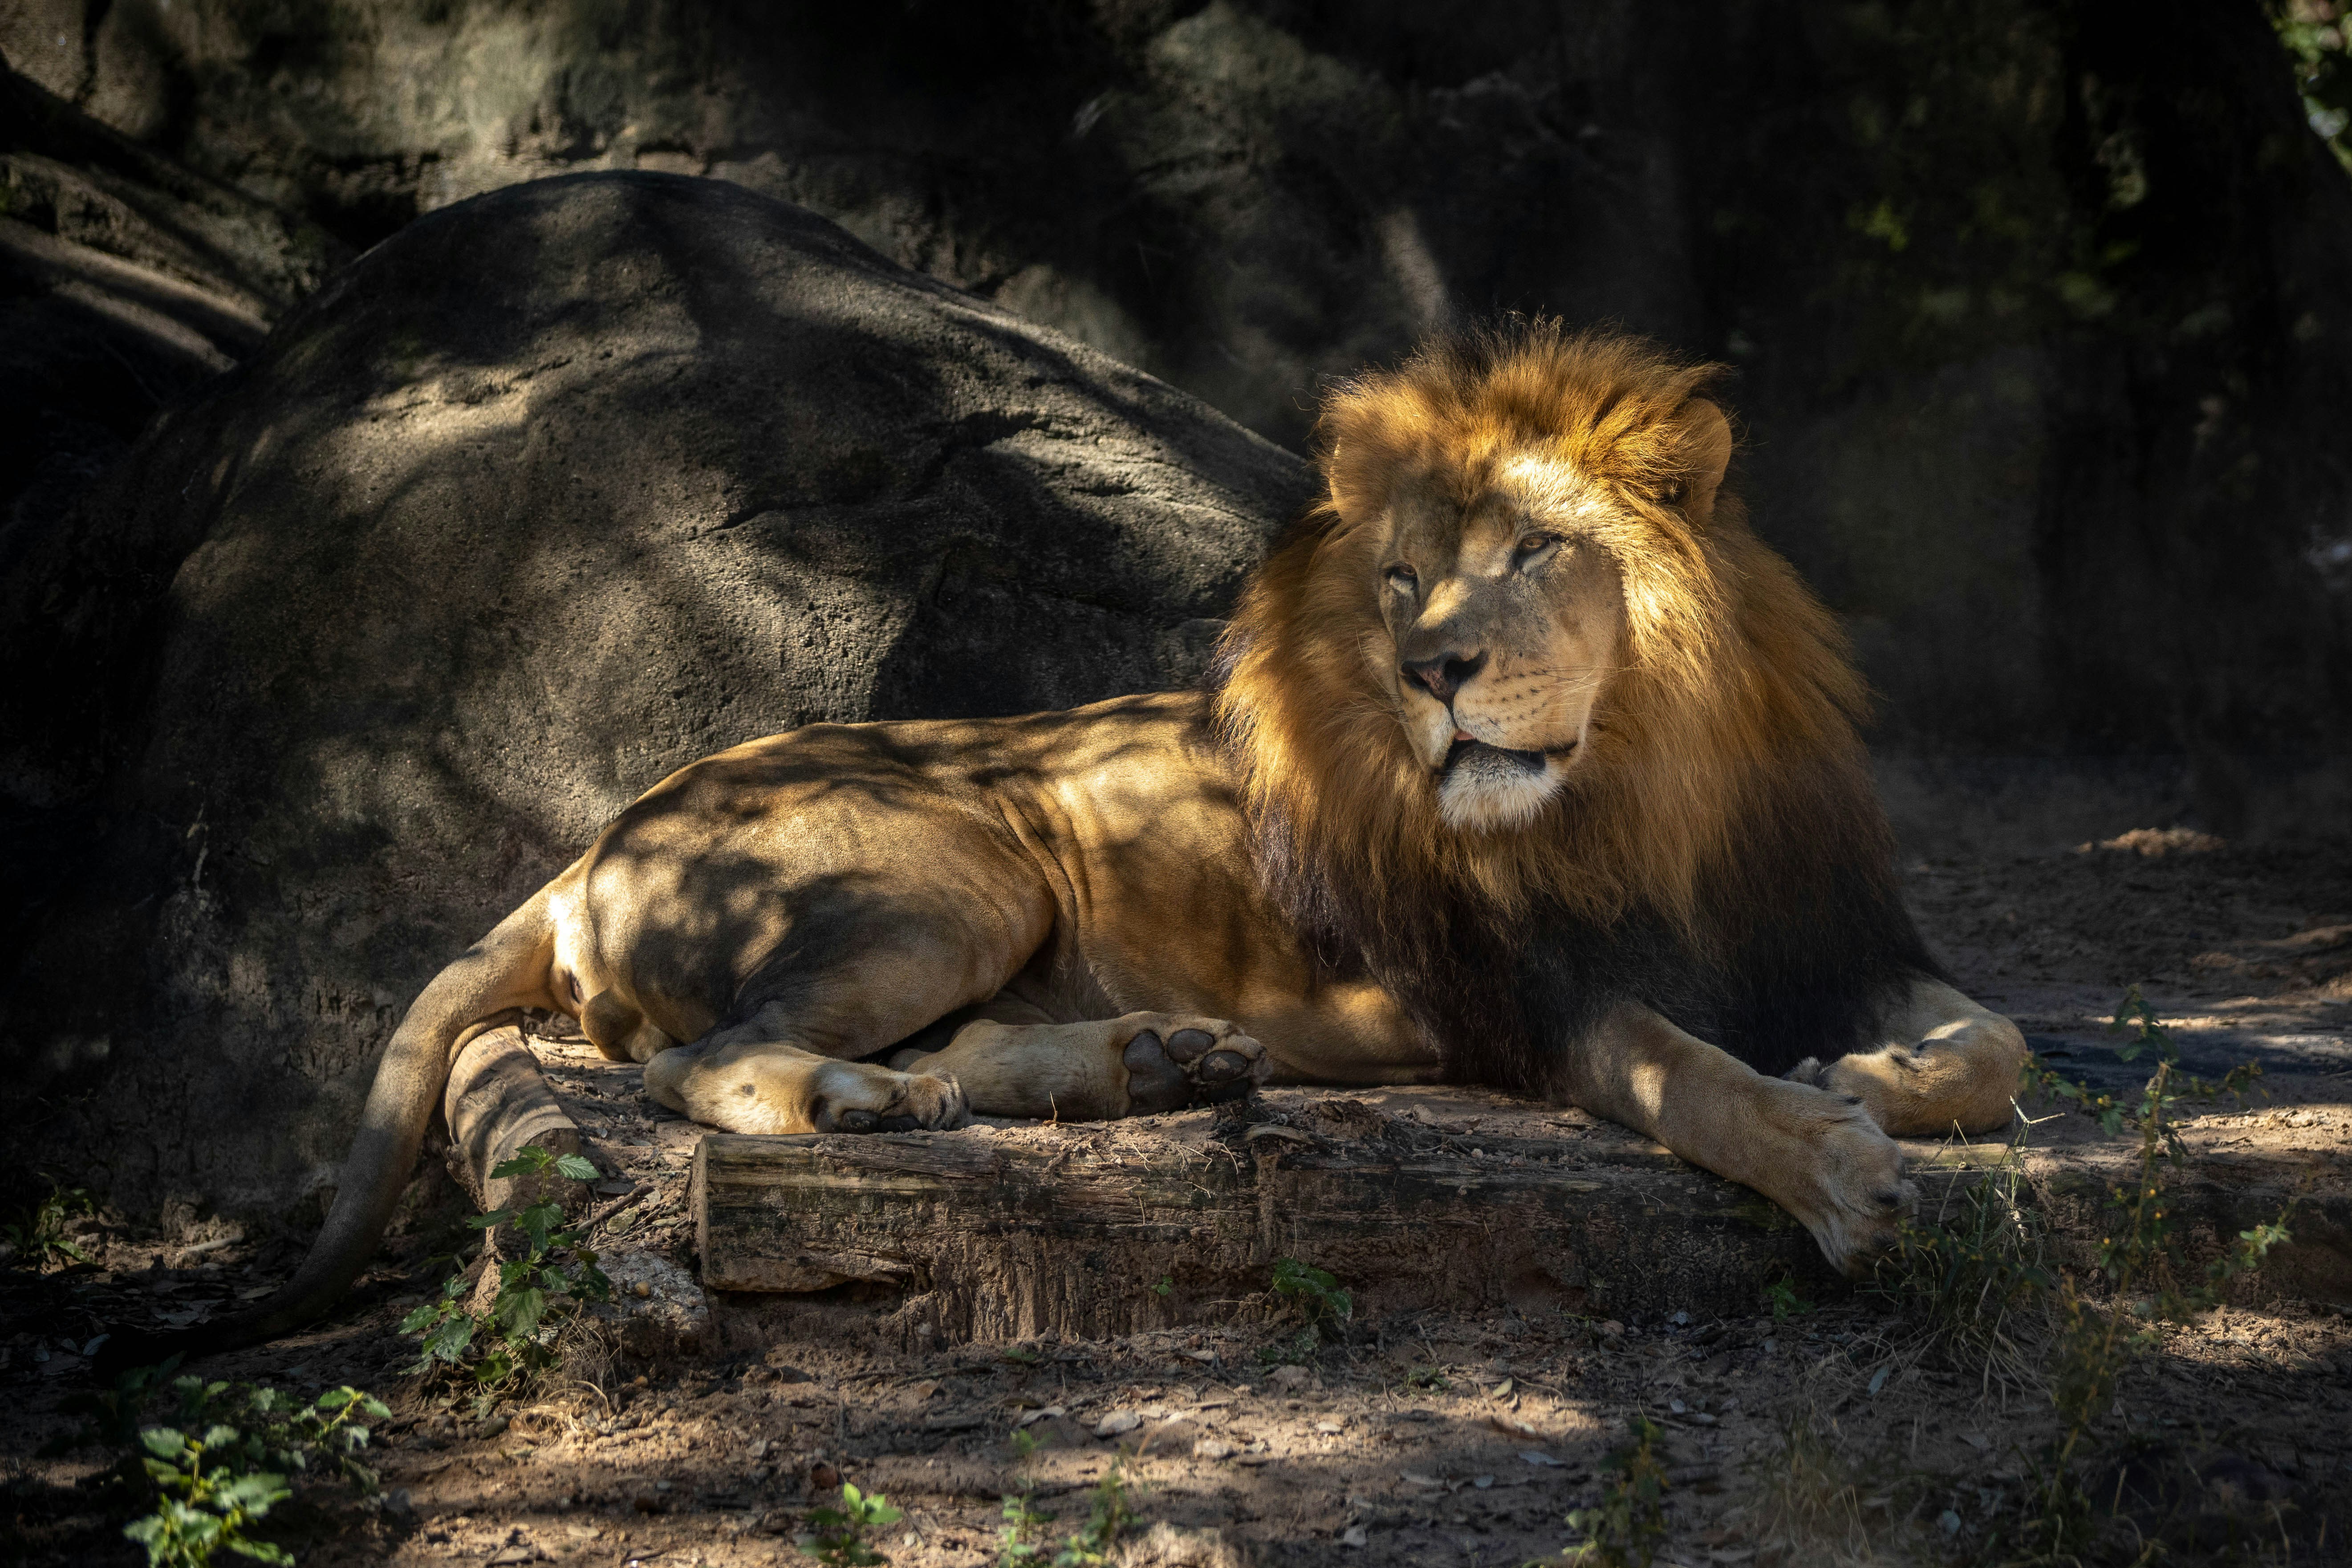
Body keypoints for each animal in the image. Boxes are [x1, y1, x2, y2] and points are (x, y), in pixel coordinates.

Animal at [168, 323, 2026, 1351]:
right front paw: (1838, 1163)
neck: (1641, 784)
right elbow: (1687, 1073)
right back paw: (874, 1103)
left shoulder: (1833, 935)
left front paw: (1867, 1078)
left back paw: (1152, 1063)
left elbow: (1991, 1040)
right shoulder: (1526, 1000)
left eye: (1533, 553)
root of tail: (579, 847)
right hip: (958, 862)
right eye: (1402, 580)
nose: (1431, 670)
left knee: (946, 1049)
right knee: (703, 1064)